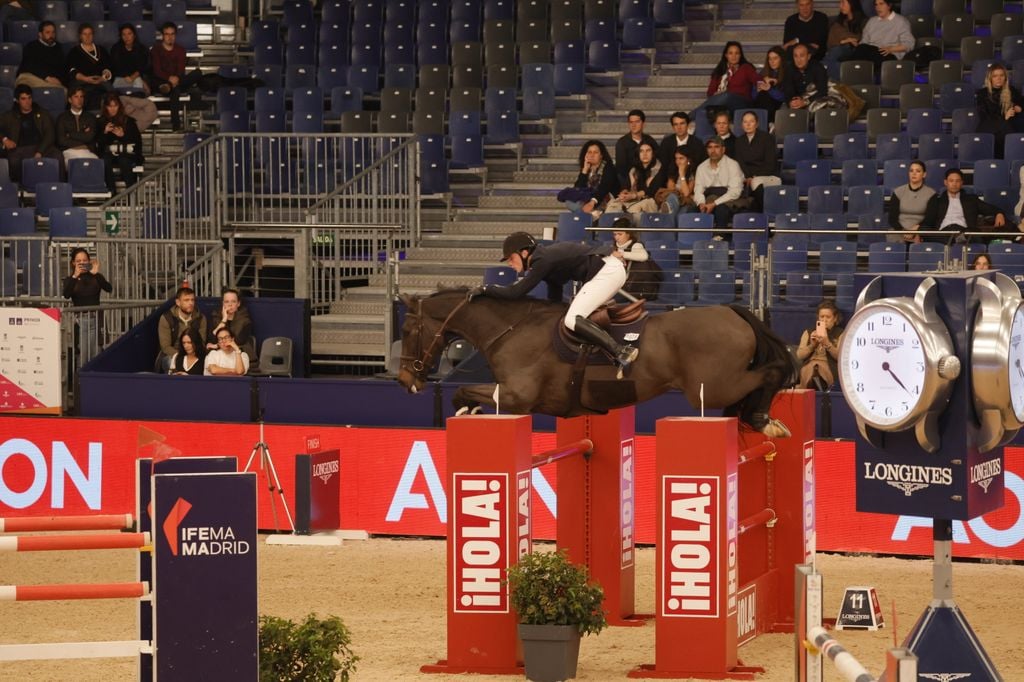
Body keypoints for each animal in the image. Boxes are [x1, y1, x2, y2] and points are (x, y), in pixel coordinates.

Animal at [395, 286, 794, 436]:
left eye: (409, 328)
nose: (403, 380)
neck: (509, 328)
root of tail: (732, 311)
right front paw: (471, 413)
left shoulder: (516, 396)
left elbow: (463, 390)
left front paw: (467, 410)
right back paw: (749, 418)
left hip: (711, 387)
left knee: (772, 372)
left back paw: (762, 419)